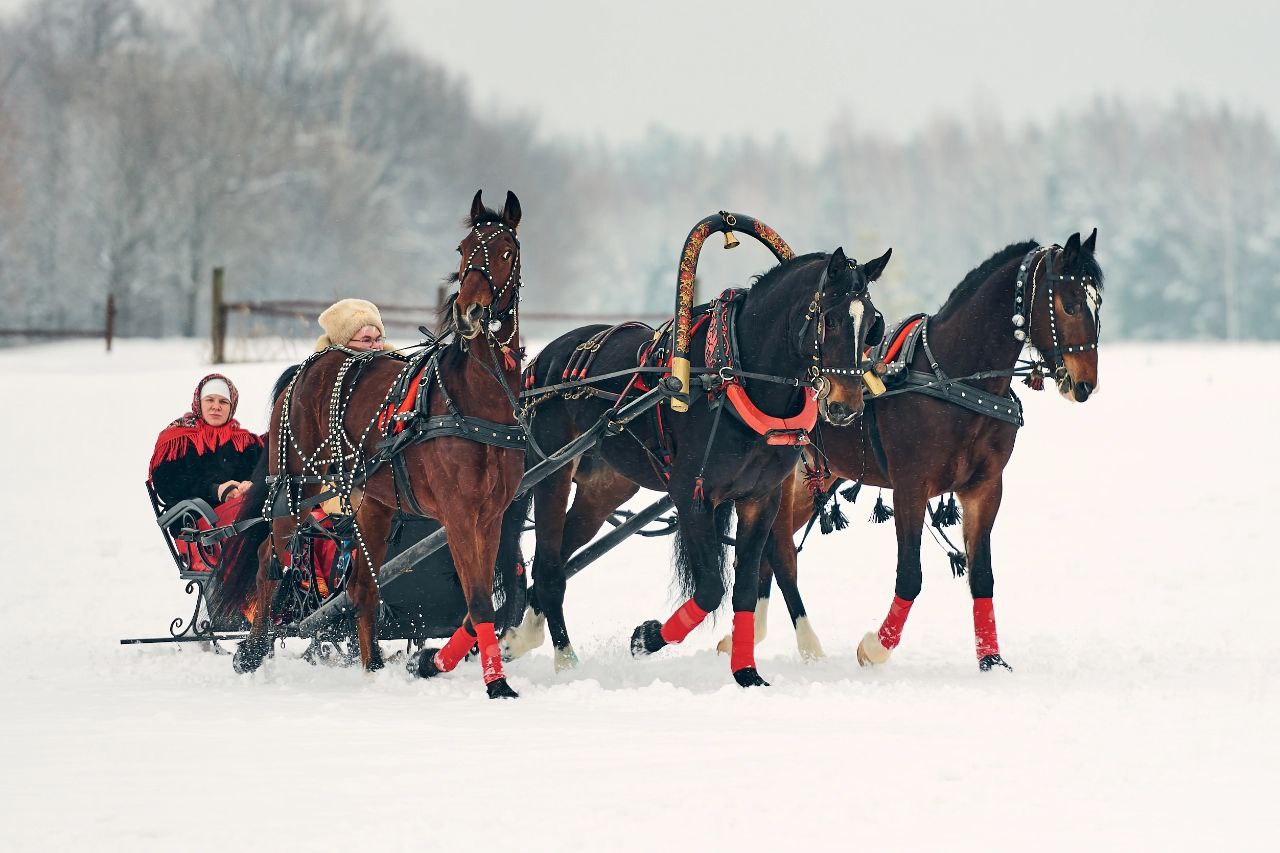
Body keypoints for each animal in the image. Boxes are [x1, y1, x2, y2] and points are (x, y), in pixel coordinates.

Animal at [217, 189, 527, 696]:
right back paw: (253, 651)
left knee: (362, 586)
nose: (469, 313)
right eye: (463, 250)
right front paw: (496, 684)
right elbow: (480, 601)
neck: (476, 397)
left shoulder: (492, 514)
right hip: (295, 488)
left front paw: (430, 662)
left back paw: (372, 666)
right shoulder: (460, 514)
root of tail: (305, 369)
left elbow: (474, 605)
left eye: (505, 251)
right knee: (269, 560)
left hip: (373, 502)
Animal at [737, 229, 1105, 666]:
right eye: (1070, 304)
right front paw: (875, 647)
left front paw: (991, 659)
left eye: (1098, 304)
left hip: (816, 479)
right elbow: (910, 575)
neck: (953, 381)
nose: (1084, 384)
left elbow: (982, 575)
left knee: (768, 552)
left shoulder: (985, 488)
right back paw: (804, 643)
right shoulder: (910, 486)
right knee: (780, 553)